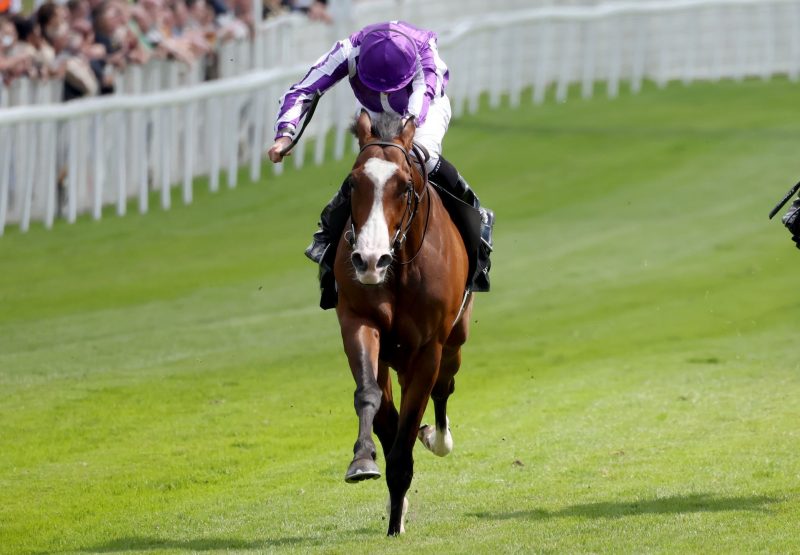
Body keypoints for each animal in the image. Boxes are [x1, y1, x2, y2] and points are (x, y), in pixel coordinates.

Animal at [334, 111, 472, 536]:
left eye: (404, 186)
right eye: (352, 183)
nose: (369, 260)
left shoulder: (429, 348)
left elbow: (410, 423)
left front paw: (395, 523)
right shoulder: (359, 322)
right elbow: (373, 401)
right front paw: (363, 460)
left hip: (455, 339)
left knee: (444, 387)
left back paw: (438, 438)